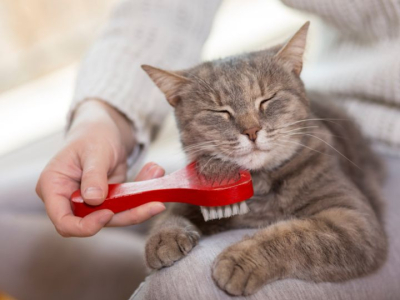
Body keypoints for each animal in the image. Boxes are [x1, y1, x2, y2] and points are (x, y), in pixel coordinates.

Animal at [141, 22, 388, 296]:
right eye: (220, 111)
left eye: (267, 99)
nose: (251, 131)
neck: (257, 187)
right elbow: (176, 207)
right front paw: (163, 235)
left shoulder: (353, 220)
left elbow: (296, 235)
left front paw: (240, 260)